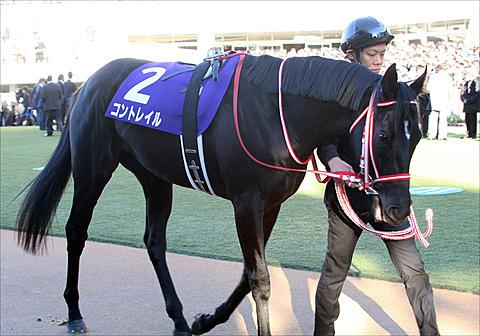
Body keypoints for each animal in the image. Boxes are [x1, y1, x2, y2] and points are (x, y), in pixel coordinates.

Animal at [15, 53, 424, 334]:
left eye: (417, 135)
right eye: (383, 135)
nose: (398, 209)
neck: (277, 112)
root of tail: (88, 83)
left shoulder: (270, 205)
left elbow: (249, 275)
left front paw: (206, 320)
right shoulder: (246, 202)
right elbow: (260, 279)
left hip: (155, 177)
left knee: (154, 241)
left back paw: (179, 319)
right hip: (92, 169)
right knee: (75, 231)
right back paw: (74, 313)